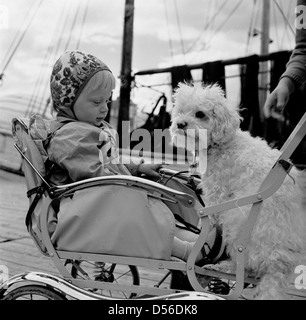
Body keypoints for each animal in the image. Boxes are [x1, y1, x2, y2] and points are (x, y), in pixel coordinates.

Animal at [170, 82, 306, 300]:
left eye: (200, 114)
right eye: (181, 111)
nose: (180, 124)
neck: (222, 144)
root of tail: (279, 265)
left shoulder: (217, 193)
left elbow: (208, 216)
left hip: (236, 218)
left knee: (247, 264)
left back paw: (227, 267)